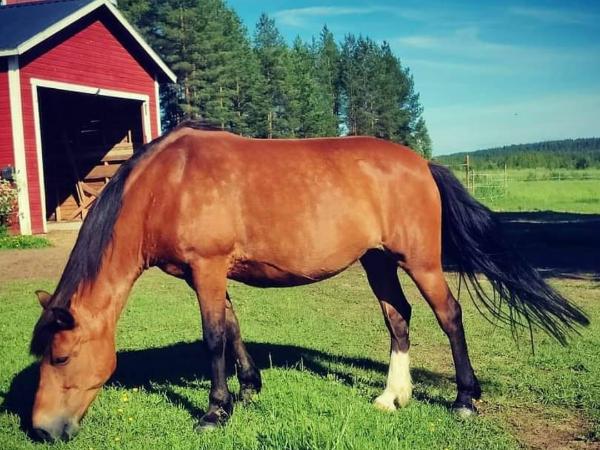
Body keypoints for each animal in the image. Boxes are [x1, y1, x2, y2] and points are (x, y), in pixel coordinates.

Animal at [29, 121, 588, 442]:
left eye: (61, 357)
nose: (43, 429)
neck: (169, 183)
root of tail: (422, 163)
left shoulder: (206, 269)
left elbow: (213, 337)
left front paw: (215, 411)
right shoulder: (208, 275)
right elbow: (233, 327)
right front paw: (249, 389)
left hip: (420, 261)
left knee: (448, 316)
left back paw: (465, 401)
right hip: (377, 262)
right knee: (398, 318)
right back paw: (393, 396)